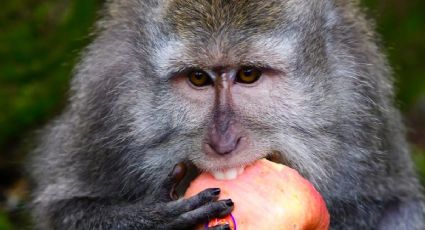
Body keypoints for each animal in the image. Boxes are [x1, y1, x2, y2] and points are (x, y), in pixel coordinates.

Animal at [29, 0, 424, 229]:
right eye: (198, 78)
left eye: (248, 74)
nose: (223, 142)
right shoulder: (107, 99)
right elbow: (66, 208)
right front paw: (149, 220)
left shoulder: (359, 101)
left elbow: (391, 206)